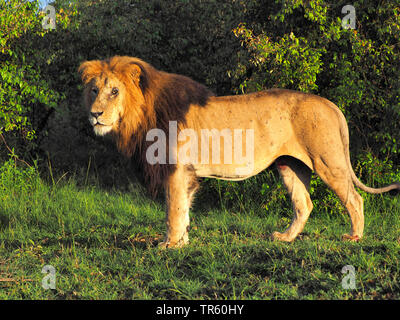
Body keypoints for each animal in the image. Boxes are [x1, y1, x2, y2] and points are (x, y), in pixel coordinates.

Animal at [79, 56, 400, 249]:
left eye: (114, 91)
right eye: (94, 90)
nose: (94, 115)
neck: (140, 115)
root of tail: (330, 104)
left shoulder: (175, 169)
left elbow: (173, 209)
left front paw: (169, 245)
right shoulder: (185, 173)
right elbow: (183, 208)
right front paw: (182, 241)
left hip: (327, 160)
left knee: (354, 198)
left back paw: (355, 236)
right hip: (289, 165)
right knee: (304, 204)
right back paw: (285, 238)